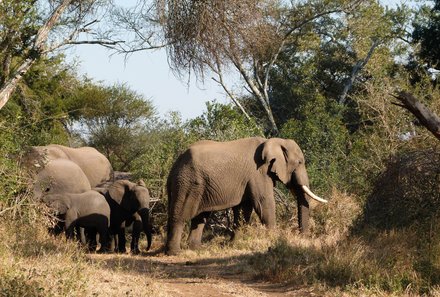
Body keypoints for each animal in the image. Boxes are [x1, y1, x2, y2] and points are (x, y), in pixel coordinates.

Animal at [167, 136, 328, 254]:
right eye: (300, 162)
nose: (303, 236)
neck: (273, 141)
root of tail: (174, 165)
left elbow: (244, 208)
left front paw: (234, 243)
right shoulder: (258, 172)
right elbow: (264, 203)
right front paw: (274, 240)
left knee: (200, 218)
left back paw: (196, 249)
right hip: (188, 183)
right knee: (181, 216)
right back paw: (175, 252)